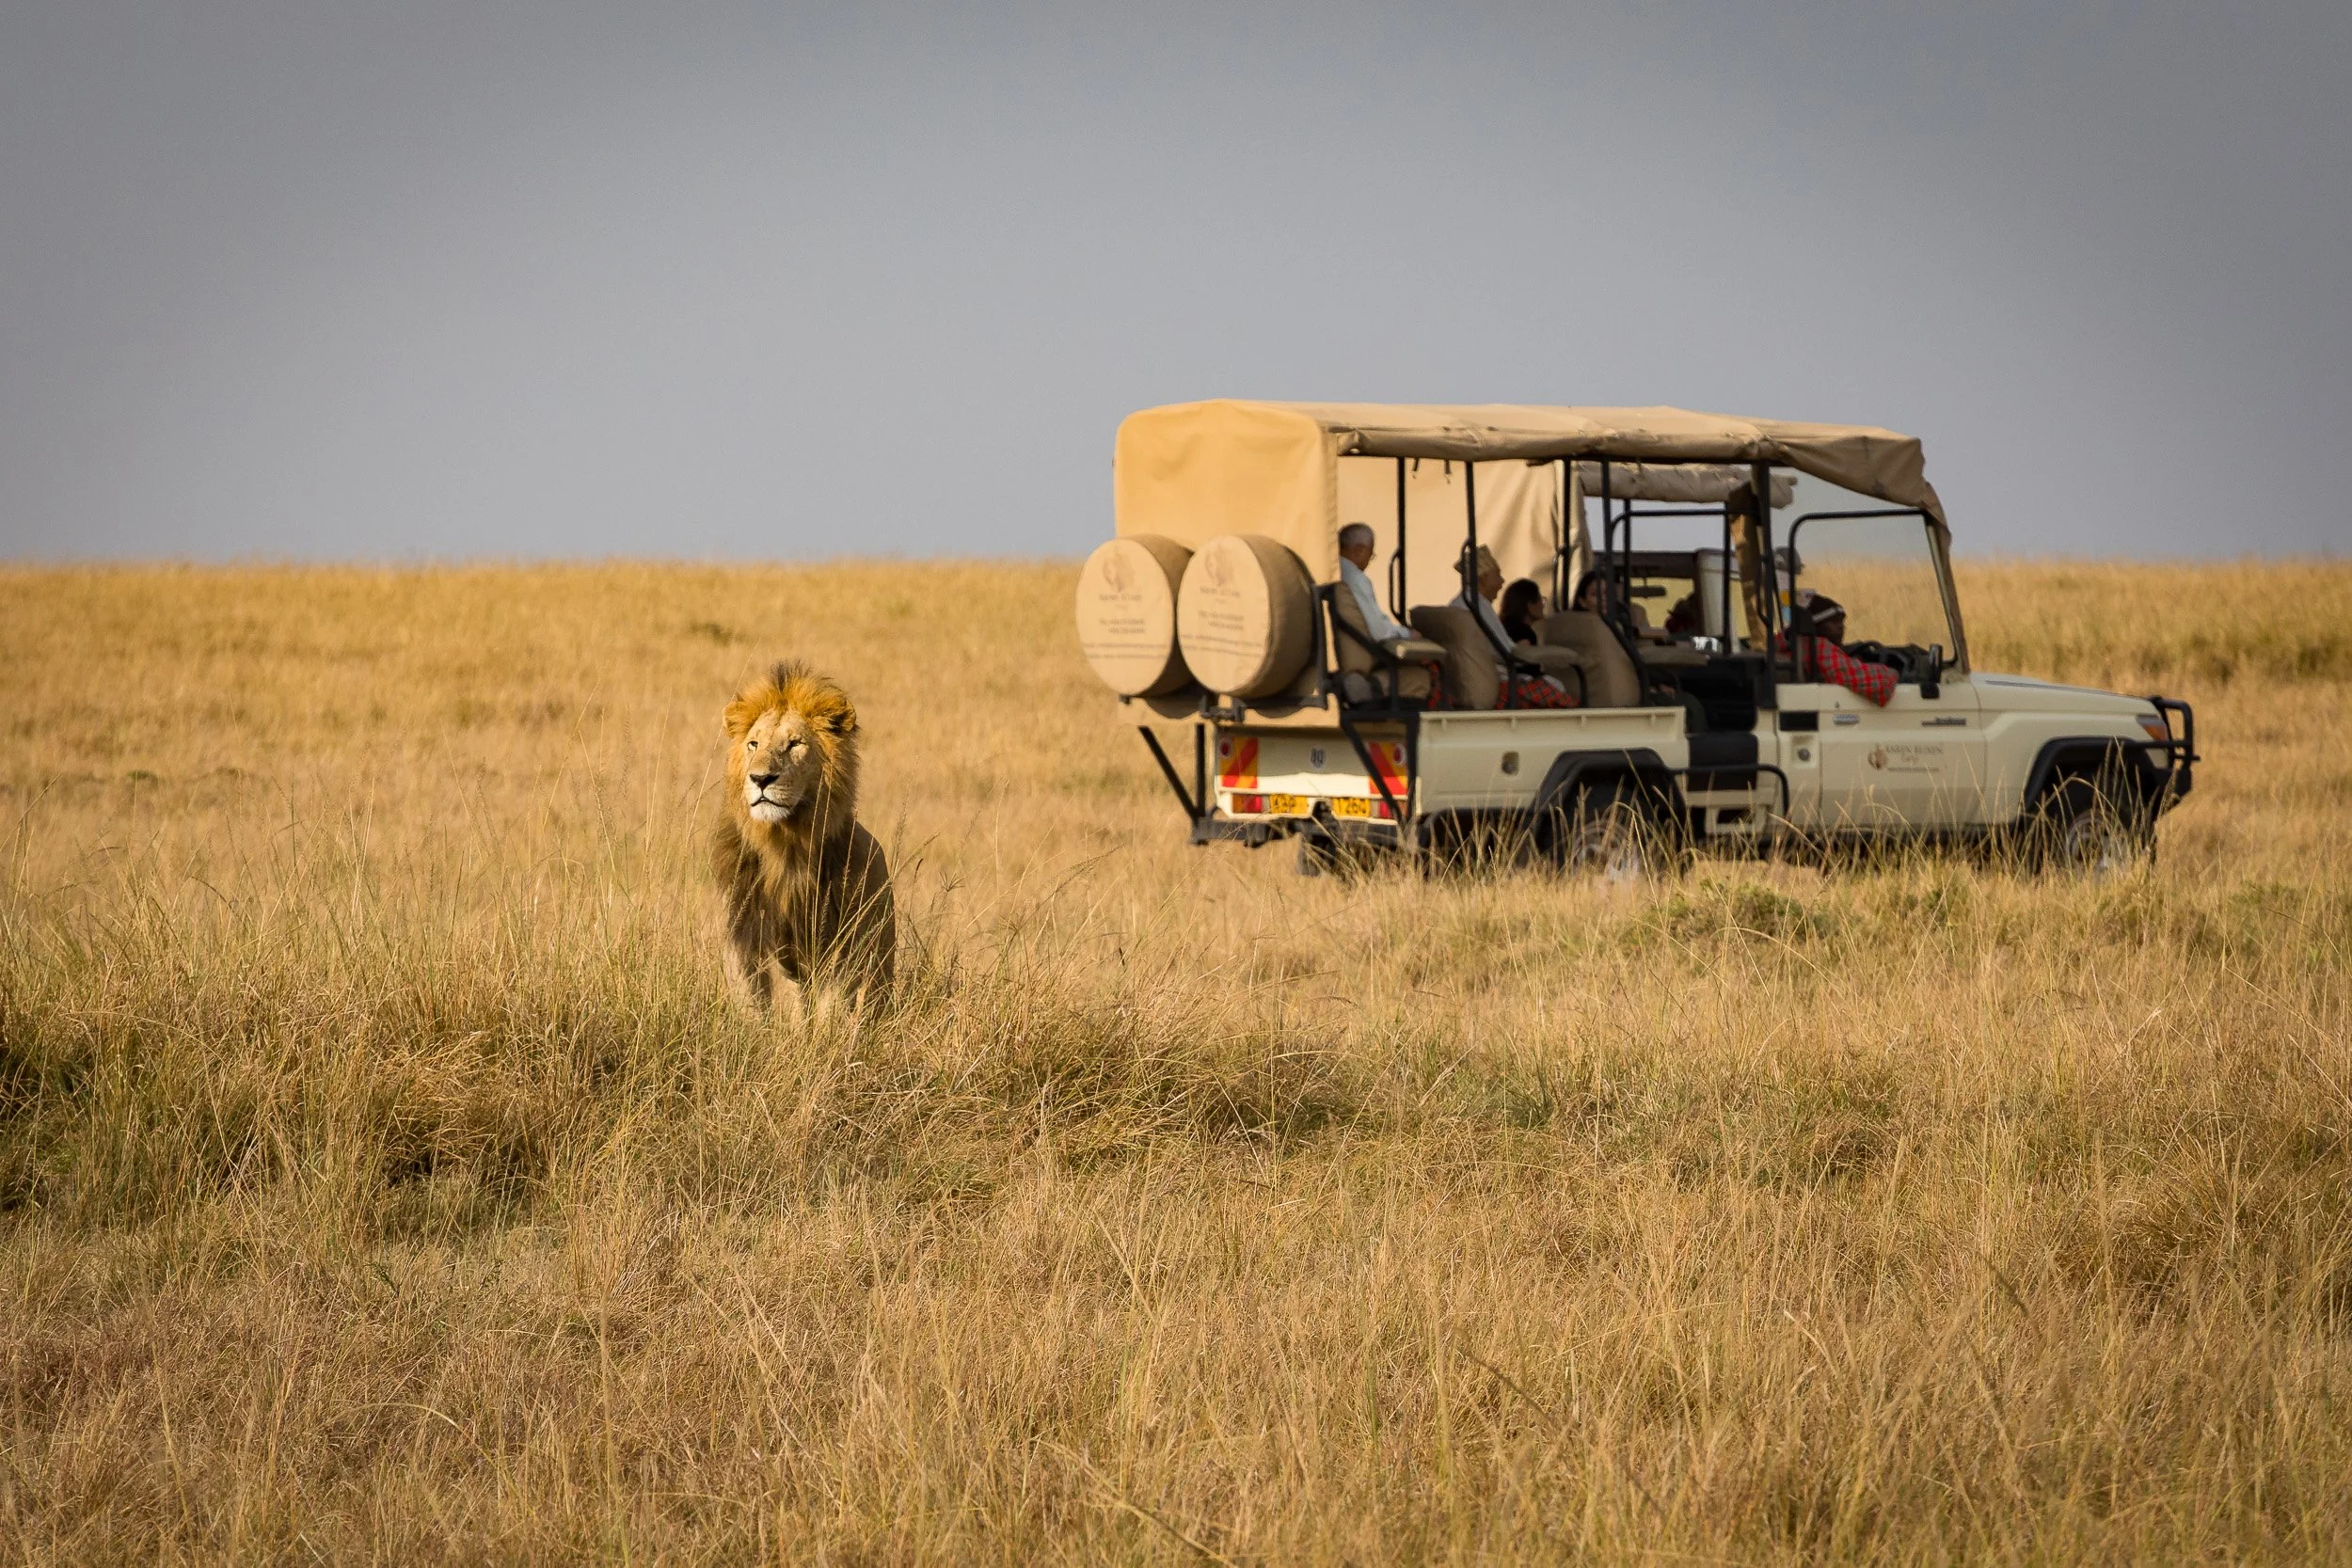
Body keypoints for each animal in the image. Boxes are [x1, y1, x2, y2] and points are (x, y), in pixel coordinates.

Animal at [713, 661, 895, 1005]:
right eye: (754, 744)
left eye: (794, 744)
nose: (760, 779)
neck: (786, 847)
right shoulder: (754, 941)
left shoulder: (835, 947)